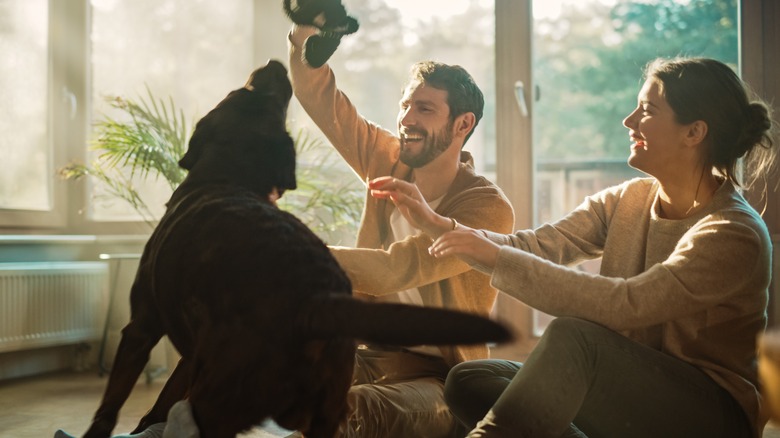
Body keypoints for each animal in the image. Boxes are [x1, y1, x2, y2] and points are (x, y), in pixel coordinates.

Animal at [71, 60, 512, 438]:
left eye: (240, 91)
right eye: (258, 95)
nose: (275, 65)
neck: (228, 177)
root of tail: (312, 300)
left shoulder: (141, 326)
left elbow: (111, 405)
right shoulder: (191, 351)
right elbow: (166, 393)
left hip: (225, 392)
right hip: (324, 404)